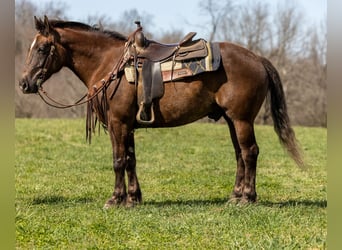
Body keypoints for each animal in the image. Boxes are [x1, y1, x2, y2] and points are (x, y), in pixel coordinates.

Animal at [18, 15, 304, 207]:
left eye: (42, 48)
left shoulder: (118, 123)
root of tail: (258, 59)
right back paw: (235, 196)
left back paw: (247, 198)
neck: (108, 64)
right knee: (240, 155)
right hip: (232, 120)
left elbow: (118, 160)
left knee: (250, 152)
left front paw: (115, 199)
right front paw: (133, 199)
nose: (24, 83)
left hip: (242, 119)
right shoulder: (127, 125)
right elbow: (131, 159)